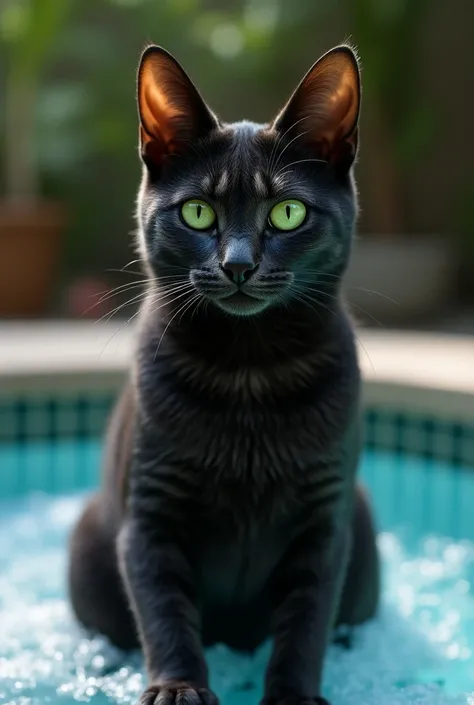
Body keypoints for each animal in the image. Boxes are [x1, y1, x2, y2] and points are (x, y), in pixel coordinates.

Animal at [68, 44, 380, 704]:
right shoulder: (149, 517)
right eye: (197, 211)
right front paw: (178, 687)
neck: (248, 374)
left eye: (287, 212)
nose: (237, 265)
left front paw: (293, 695)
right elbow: (163, 614)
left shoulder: (326, 523)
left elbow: (306, 622)